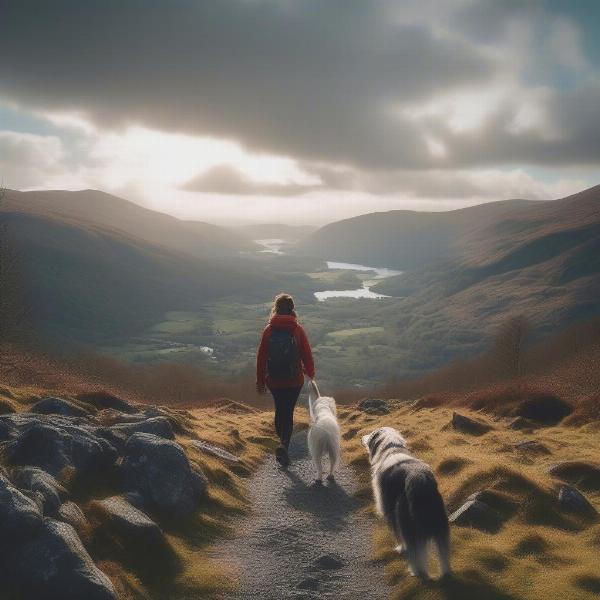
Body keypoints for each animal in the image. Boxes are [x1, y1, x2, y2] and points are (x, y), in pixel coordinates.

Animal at [360, 424, 450, 580]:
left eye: (371, 434)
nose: (362, 437)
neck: (391, 449)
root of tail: (419, 481)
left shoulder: (389, 511)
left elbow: (396, 534)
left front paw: (400, 548)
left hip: (405, 521)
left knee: (415, 553)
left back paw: (415, 571)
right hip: (440, 527)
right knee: (443, 554)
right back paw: (446, 574)